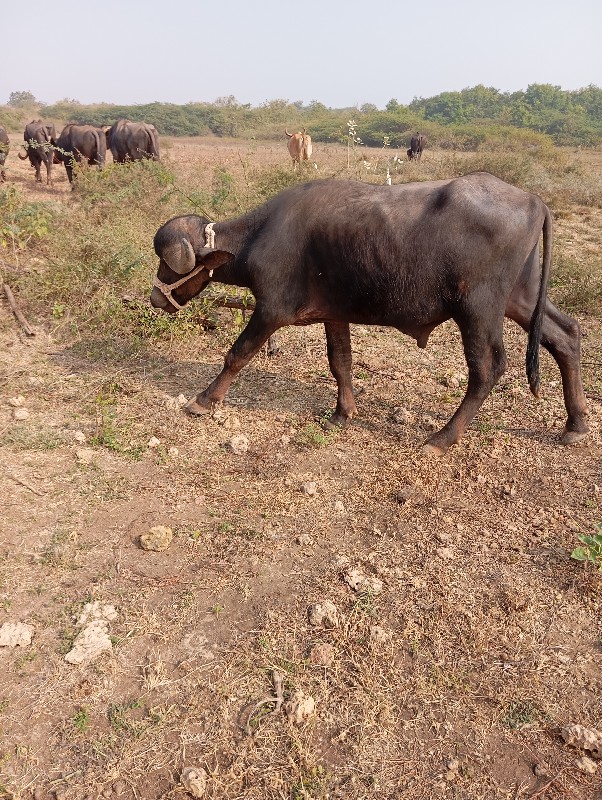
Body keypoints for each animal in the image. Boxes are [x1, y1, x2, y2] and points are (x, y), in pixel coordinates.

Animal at [149, 172, 584, 454]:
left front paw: (204, 400)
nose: (155, 298)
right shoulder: (333, 313)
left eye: (170, 265)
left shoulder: (271, 311)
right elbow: (340, 361)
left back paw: (441, 439)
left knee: (488, 369)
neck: (260, 236)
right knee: (565, 335)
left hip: (478, 310)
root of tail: (534, 201)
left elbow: (237, 354)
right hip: (522, 298)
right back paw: (575, 424)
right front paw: (343, 412)